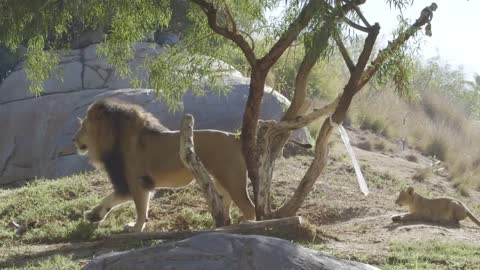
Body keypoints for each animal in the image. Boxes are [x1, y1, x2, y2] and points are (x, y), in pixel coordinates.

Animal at [73, 97, 256, 232]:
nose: (74, 139)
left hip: (233, 180)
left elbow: (139, 208)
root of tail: (235, 137)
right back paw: (221, 226)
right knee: (226, 204)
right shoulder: (139, 183)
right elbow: (114, 199)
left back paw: (247, 226)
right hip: (221, 181)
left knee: (249, 207)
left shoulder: (136, 182)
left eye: (83, 126)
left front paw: (136, 228)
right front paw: (94, 215)